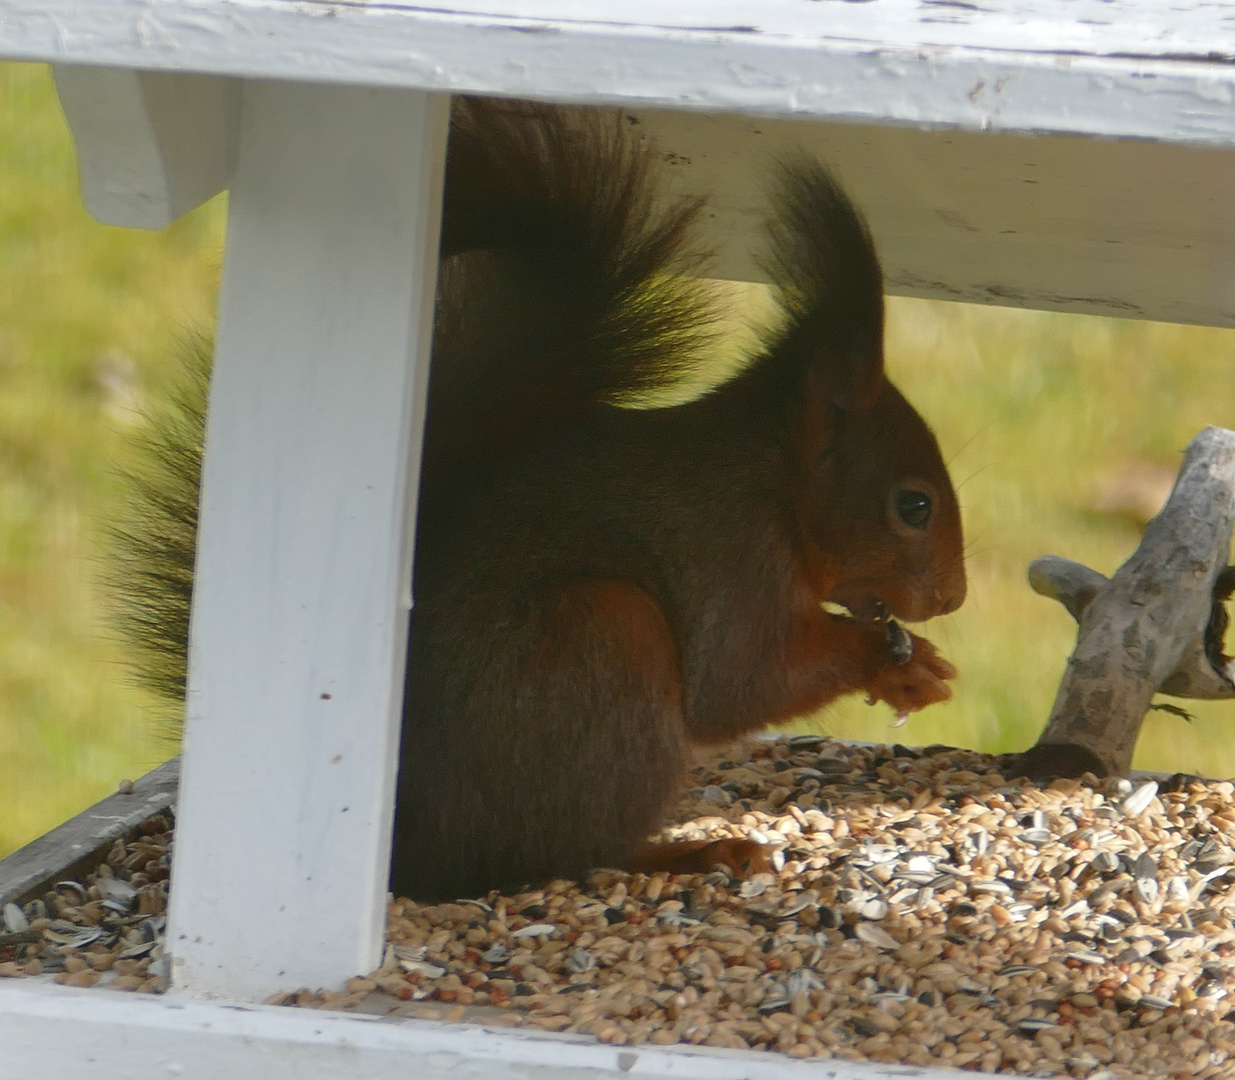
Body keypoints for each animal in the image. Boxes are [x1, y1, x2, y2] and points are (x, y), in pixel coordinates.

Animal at [387, 101, 963, 894]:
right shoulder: (732, 553)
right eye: (913, 506)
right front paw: (896, 663)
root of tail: (411, 846)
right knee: (570, 852)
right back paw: (691, 853)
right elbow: (741, 682)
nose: (953, 597)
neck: (773, 482)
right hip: (604, 638)